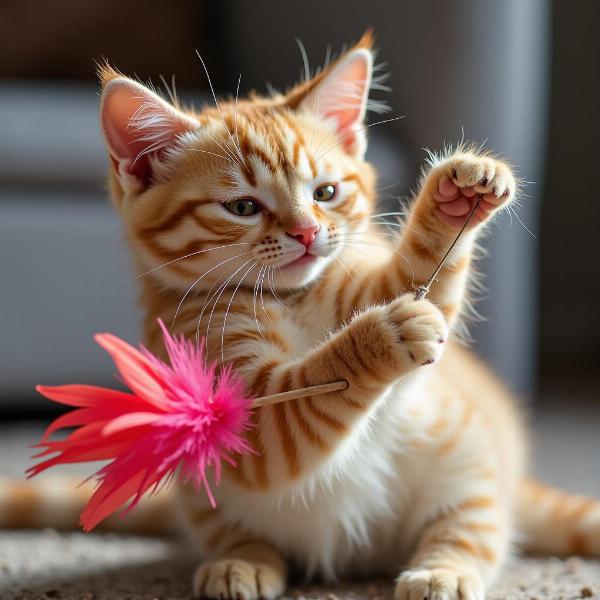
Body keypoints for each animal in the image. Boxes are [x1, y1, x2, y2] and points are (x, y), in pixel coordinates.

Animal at [2, 31, 596, 600]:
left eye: (326, 193)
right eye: (243, 207)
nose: (308, 233)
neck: (287, 300)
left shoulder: (363, 284)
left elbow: (419, 275)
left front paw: (455, 199)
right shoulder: (231, 407)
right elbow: (298, 404)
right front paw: (382, 336)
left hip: (465, 466)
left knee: (470, 530)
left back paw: (441, 570)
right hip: (204, 495)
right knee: (243, 535)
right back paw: (242, 562)